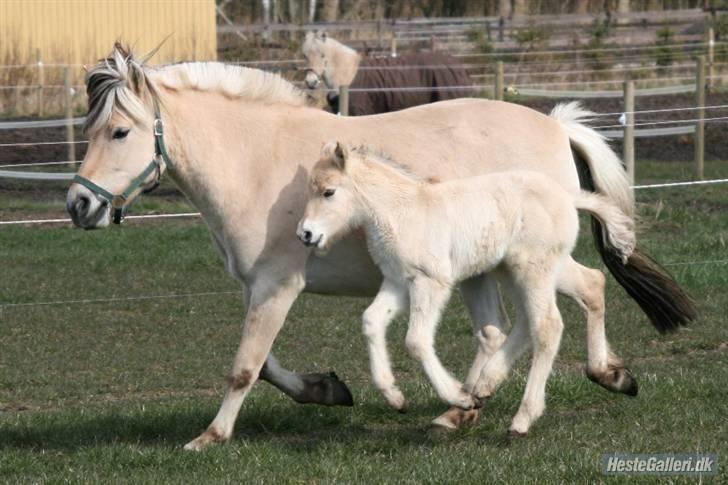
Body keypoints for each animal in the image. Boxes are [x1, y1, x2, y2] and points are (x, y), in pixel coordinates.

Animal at [298, 142, 636, 432]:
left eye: (328, 192)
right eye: (311, 190)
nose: (305, 234)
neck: (403, 211)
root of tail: (566, 196)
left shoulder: (431, 281)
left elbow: (416, 340)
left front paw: (458, 396)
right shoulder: (399, 281)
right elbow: (371, 320)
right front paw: (395, 397)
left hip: (533, 269)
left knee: (547, 324)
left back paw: (521, 418)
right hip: (515, 270)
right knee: (585, 288)